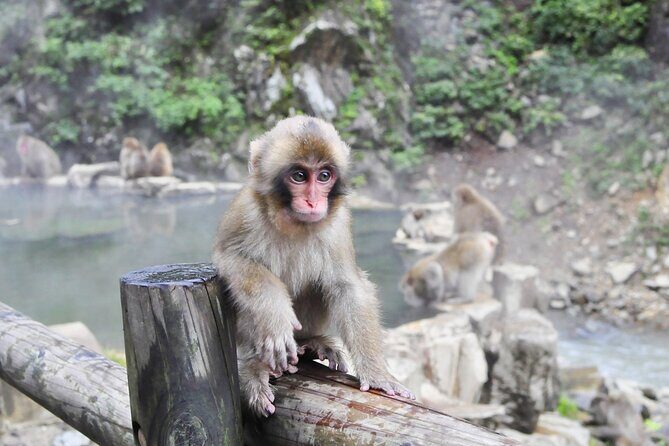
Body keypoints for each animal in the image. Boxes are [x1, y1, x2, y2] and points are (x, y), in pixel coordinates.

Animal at [212, 116, 414, 417]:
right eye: (299, 176)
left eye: (324, 176)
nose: (312, 201)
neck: (292, 221)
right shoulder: (245, 210)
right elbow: (231, 259)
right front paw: (276, 317)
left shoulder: (339, 222)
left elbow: (347, 286)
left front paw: (377, 374)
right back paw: (255, 364)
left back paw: (310, 343)